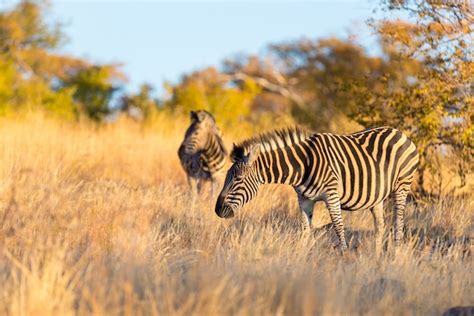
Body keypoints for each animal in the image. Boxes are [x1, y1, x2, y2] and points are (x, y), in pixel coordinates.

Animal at [215, 126, 418, 252]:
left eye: (238, 179)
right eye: (226, 178)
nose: (217, 210)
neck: (302, 165)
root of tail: (400, 132)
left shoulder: (332, 195)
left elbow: (338, 227)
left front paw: (344, 257)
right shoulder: (304, 199)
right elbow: (305, 230)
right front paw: (300, 257)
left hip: (402, 186)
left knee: (398, 224)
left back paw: (394, 257)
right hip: (377, 197)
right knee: (380, 227)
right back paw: (376, 259)